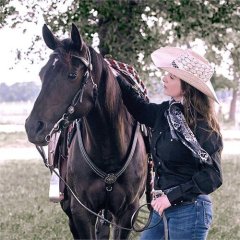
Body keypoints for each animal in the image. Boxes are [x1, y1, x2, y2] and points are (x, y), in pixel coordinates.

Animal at [24, 23, 148, 239]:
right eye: (42, 73)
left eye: (72, 75)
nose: (33, 127)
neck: (109, 150)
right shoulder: (80, 211)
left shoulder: (127, 214)